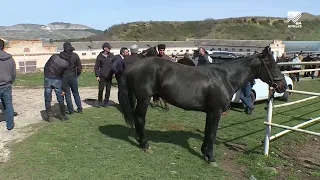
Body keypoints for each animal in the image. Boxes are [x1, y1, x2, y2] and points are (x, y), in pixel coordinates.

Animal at [116, 45, 286, 165]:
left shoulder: (210, 112)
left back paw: (139, 139)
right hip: (144, 99)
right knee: (140, 119)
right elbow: (212, 133)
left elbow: (207, 131)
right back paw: (145, 144)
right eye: (271, 64)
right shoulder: (216, 111)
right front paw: (211, 157)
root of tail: (132, 67)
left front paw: (204, 152)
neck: (224, 77)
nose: (283, 86)